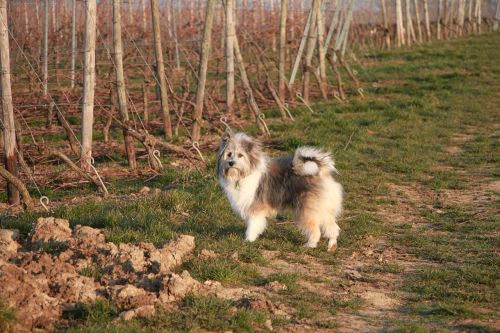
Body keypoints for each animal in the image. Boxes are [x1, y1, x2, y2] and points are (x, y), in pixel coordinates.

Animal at [216, 131, 344, 250]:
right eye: (229, 154)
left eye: (240, 155)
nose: (231, 163)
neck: (244, 173)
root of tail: (320, 172)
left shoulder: (255, 208)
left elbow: (253, 225)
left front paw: (248, 240)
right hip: (323, 208)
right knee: (332, 227)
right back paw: (331, 246)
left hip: (308, 210)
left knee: (316, 231)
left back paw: (310, 245)